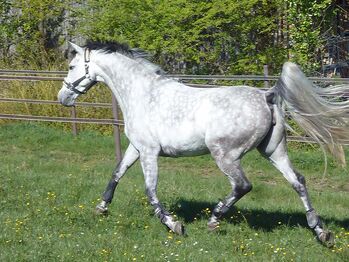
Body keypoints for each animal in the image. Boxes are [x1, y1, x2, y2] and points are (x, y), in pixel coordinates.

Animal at [58, 41, 346, 246]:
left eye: (71, 67)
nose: (62, 98)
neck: (144, 94)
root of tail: (266, 95)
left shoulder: (150, 152)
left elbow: (150, 189)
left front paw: (173, 225)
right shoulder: (136, 147)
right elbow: (117, 173)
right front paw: (100, 208)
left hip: (225, 154)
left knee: (242, 185)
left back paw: (213, 220)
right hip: (273, 151)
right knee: (298, 181)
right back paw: (321, 232)